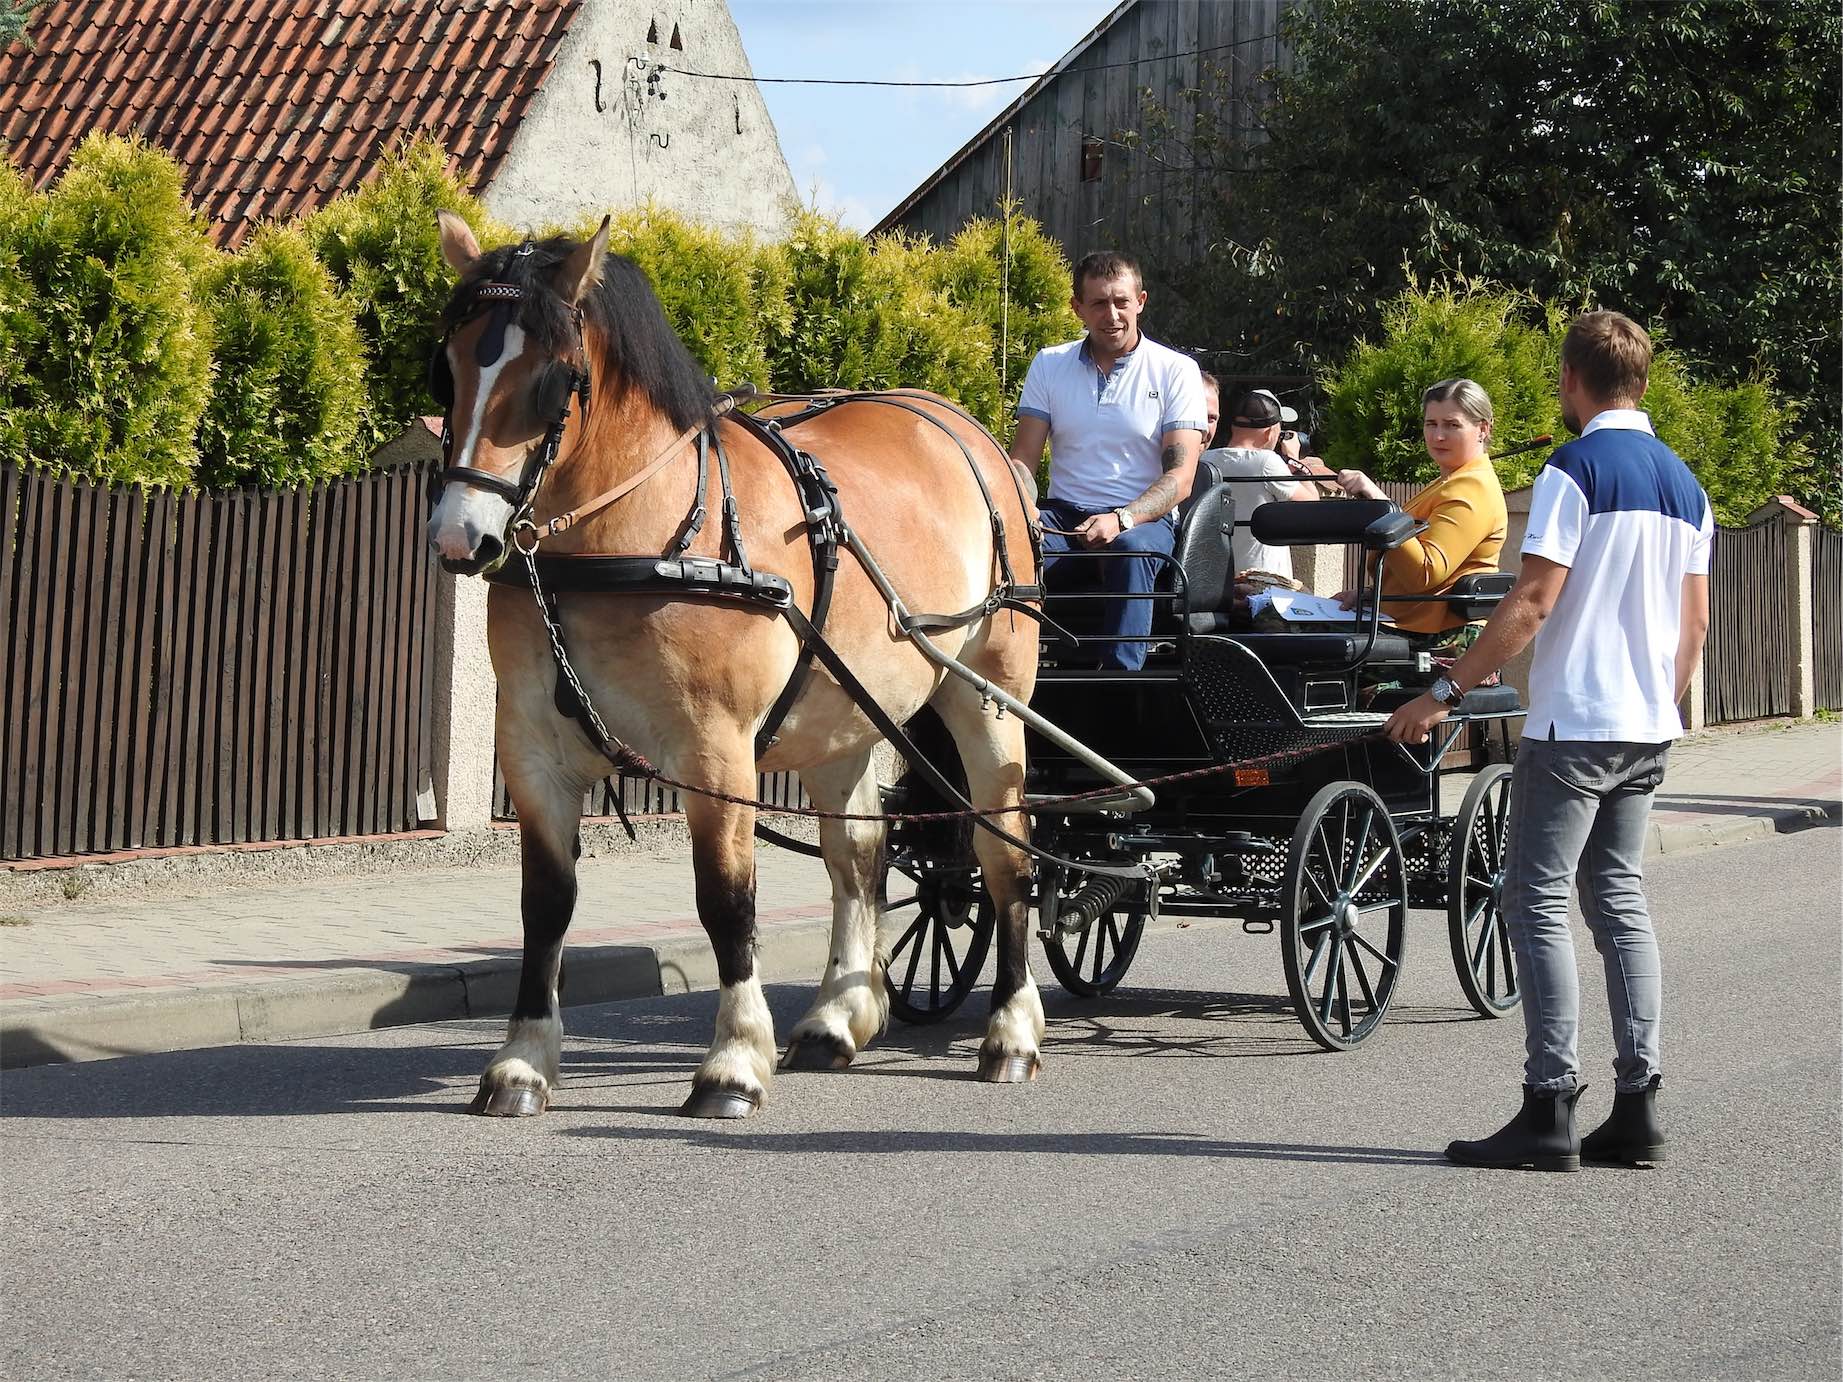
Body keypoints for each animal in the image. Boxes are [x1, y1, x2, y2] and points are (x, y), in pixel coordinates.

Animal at [422, 216, 1046, 1120]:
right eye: (450, 364)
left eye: (552, 379)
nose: (459, 536)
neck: (632, 543)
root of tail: (965, 429)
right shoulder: (532, 750)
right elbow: (545, 905)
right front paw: (523, 1062)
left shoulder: (716, 754)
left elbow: (725, 900)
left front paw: (733, 1062)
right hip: (842, 715)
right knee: (856, 856)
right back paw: (837, 1016)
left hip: (987, 697)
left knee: (1005, 855)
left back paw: (1011, 1032)